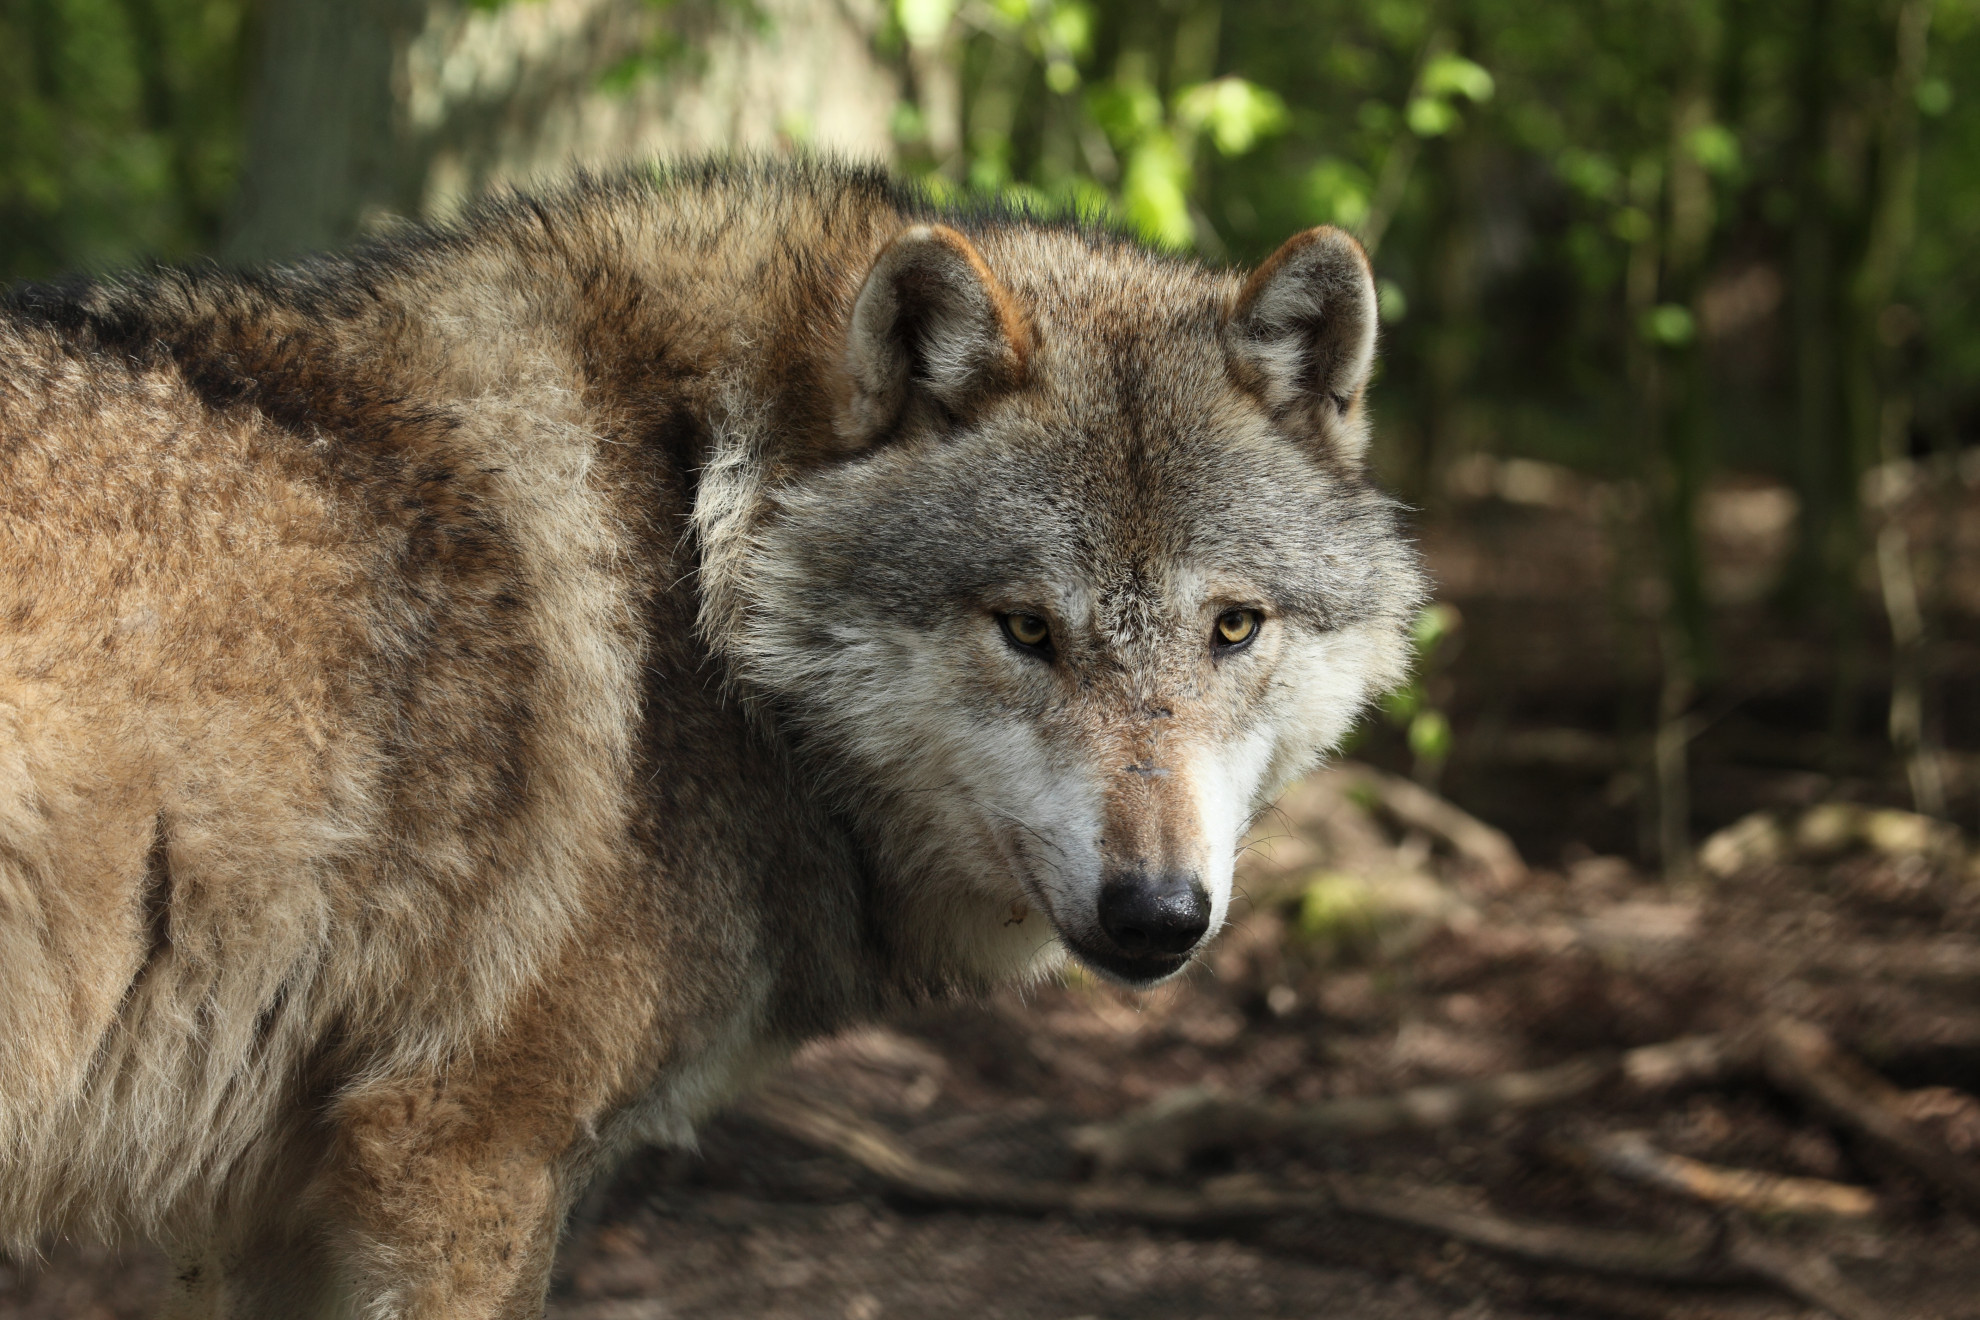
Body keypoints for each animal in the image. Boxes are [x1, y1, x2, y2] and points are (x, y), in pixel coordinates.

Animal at [0, 160, 1425, 1314]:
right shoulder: (462, 1155)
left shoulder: (266, 1205)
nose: (1157, 913)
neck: (705, 562)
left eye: (1233, 627)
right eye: (1026, 629)